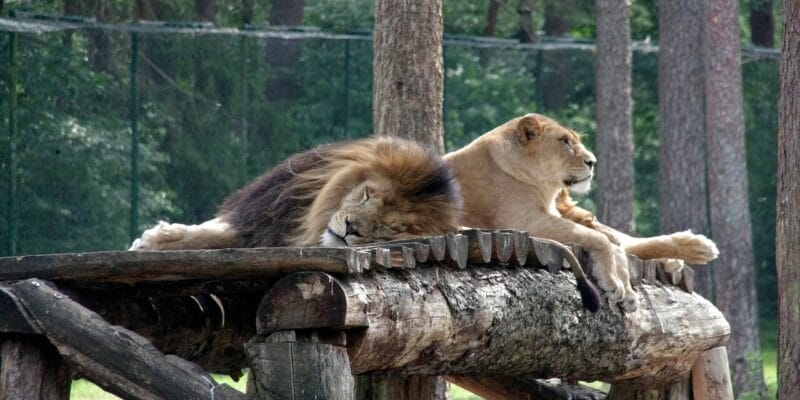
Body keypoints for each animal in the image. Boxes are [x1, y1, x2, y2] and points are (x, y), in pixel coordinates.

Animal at [130, 138, 462, 250]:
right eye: (367, 195)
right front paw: (155, 240)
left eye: (390, 228)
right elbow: (214, 232)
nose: (350, 228)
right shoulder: (265, 219)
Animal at [444, 114, 720, 310]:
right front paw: (615, 282)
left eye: (575, 139)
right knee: (617, 240)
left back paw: (696, 247)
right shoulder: (526, 222)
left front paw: (622, 287)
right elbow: (600, 240)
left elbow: (610, 243)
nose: (593, 162)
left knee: (622, 239)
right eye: (565, 141)